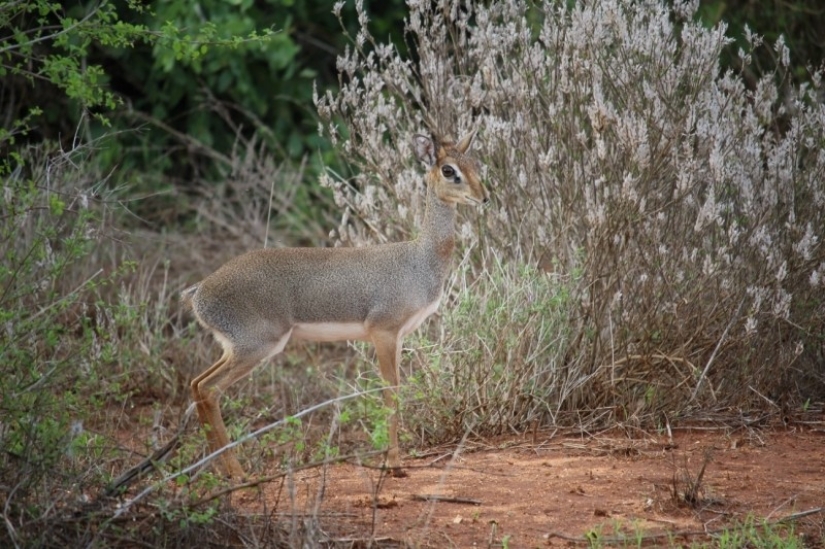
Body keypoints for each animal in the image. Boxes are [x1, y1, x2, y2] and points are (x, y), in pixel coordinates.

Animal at [183, 129, 488, 478]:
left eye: (475, 163)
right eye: (449, 170)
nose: (483, 197)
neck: (418, 260)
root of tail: (200, 292)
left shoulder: (398, 338)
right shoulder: (383, 332)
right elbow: (390, 391)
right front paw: (394, 464)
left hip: (235, 348)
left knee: (196, 384)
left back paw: (221, 470)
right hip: (256, 346)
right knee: (209, 390)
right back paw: (239, 473)